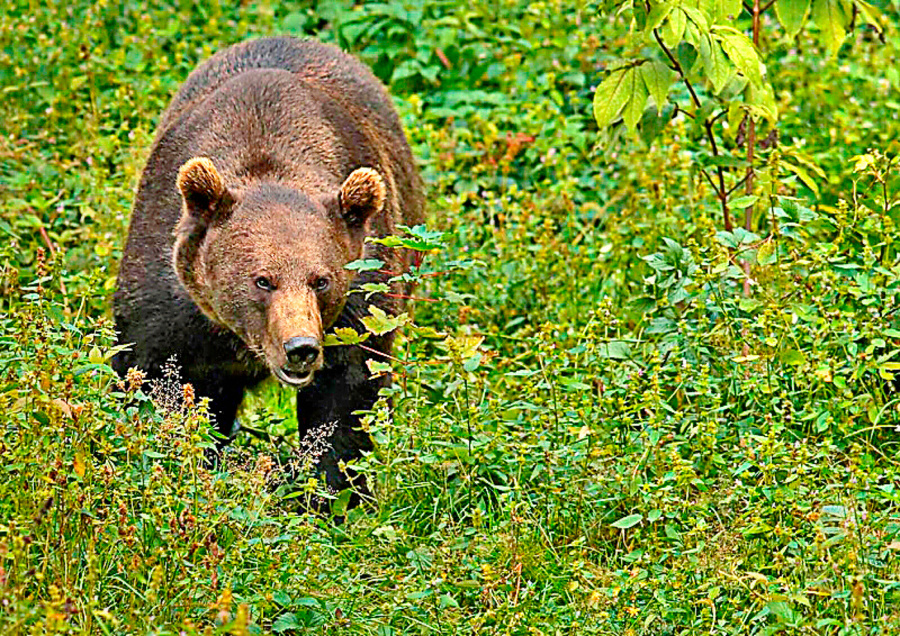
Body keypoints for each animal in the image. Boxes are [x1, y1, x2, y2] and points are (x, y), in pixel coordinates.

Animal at [113, 37, 426, 496]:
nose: (301, 347)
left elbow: (346, 398)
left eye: (320, 281)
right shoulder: (168, 299)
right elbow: (152, 381)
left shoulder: (361, 299)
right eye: (263, 280)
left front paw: (330, 490)